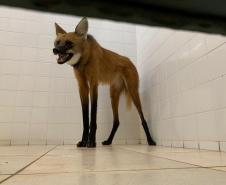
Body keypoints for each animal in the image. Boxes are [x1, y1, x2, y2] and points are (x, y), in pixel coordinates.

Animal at [52, 17, 155, 147]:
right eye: (57, 42)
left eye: (68, 43)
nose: (55, 50)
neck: (84, 60)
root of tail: (130, 60)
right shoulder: (82, 86)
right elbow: (85, 118)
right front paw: (83, 141)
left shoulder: (93, 83)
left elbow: (93, 116)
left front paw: (91, 142)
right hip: (113, 95)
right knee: (116, 121)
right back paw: (108, 141)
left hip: (133, 91)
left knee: (142, 118)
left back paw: (151, 141)